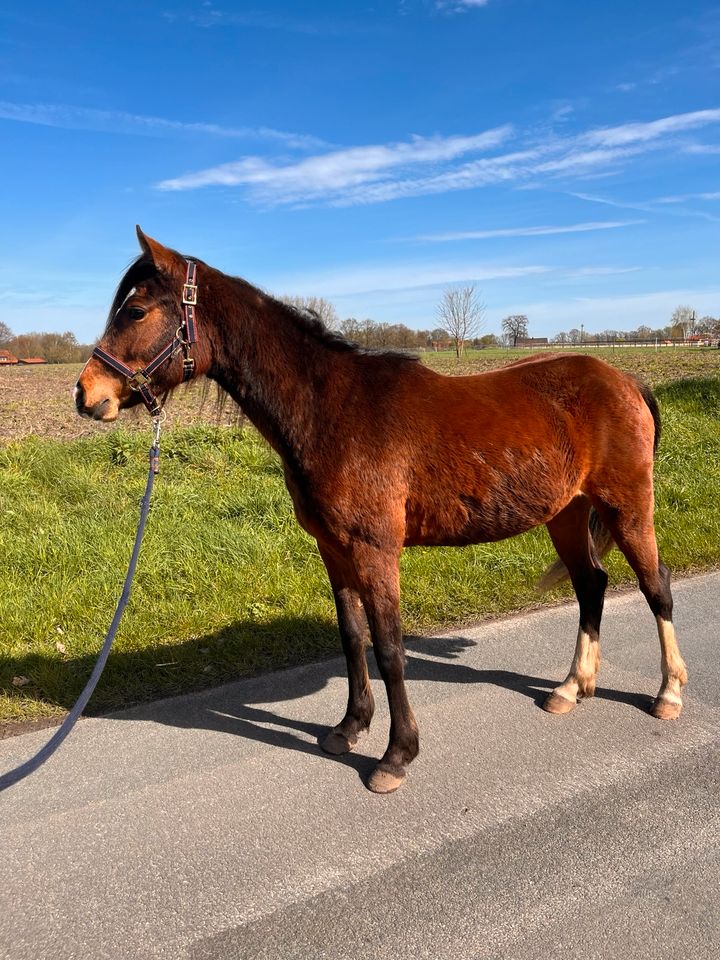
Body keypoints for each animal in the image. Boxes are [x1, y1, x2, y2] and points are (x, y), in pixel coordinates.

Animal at [76, 227, 688, 796]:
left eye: (135, 310)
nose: (86, 394)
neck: (331, 410)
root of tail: (627, 379)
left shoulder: (375, 551)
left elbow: (390, 649)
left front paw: (396, 755)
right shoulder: (333, 550)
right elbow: (353, 639)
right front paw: (349, 728)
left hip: (628, 508)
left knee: (655, 586)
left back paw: (668, 693)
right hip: (566, 514)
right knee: (591, 585)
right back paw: (571, 687)